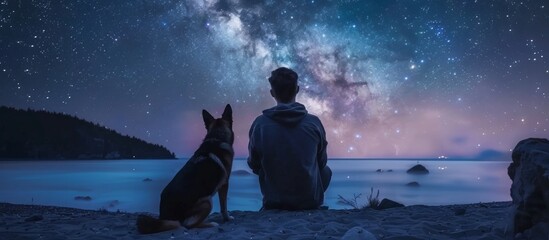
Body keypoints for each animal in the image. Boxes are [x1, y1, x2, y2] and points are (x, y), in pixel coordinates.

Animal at [136, 104, 233, 233]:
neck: (217, 137)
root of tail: (165, 217)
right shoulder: (224, 184)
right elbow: (224, 206)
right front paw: (227, 218)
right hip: (207, 201)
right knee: (188, 225)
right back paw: (210, 224)